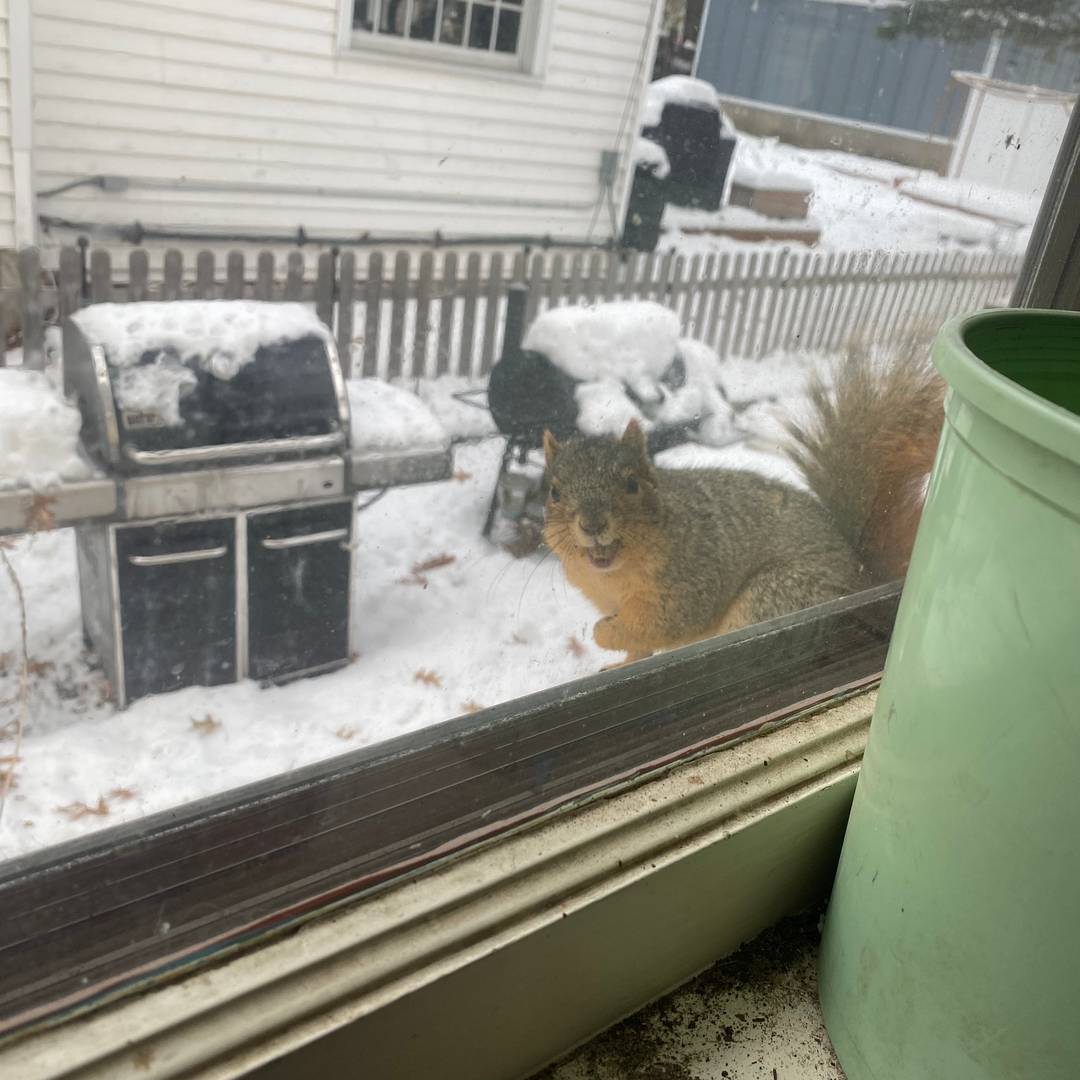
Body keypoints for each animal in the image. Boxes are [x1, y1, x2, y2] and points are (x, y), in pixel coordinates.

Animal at [542, 350, 944, 664]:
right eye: (554, 492)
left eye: (631, 484)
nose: (592, 524)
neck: (613, 576)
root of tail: (861, 575)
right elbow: (638, 644)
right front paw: (620, 661)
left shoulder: (693, 577)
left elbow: (660, 624)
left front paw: (602, 634)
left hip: (776, 595)